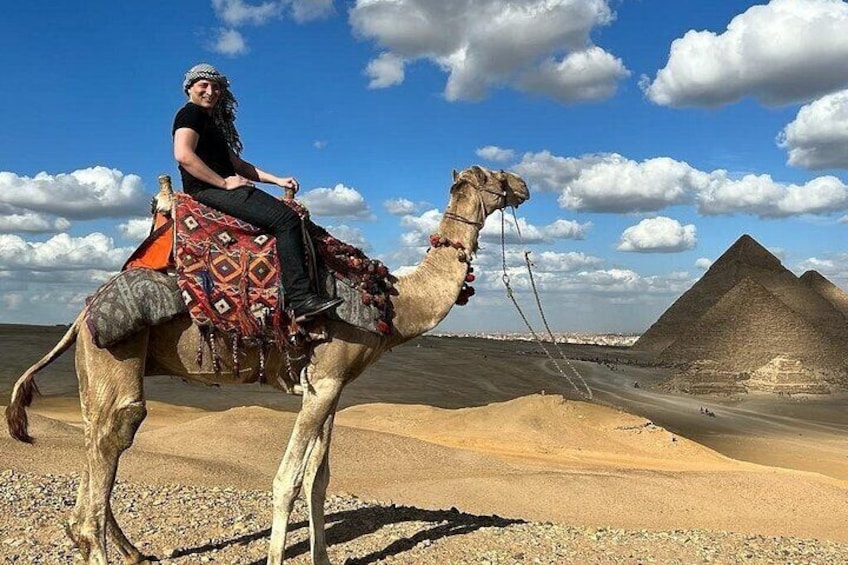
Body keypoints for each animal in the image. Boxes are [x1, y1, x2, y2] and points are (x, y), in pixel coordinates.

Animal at [4, 165, 528, 560]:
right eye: (493, 174)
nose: (524, 183)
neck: (393, 304)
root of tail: (84, 310)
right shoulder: (324, 381)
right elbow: (287, 481)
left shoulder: (331, 384)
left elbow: (319, 480)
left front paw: (320, 557)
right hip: (116, 350)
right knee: (116, 430)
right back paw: (98, 541)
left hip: (93, 368)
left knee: (95, 433)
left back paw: (126, 548)